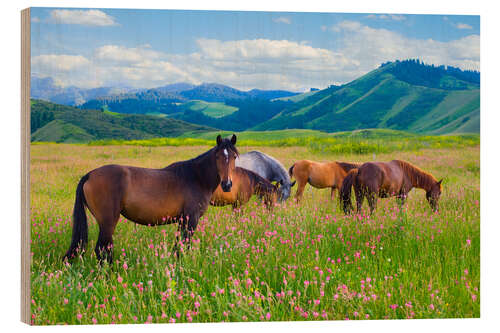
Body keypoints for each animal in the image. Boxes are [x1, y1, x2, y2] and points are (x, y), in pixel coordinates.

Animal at [63, 133, 239, 262]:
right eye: (217, 157)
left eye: (234, 156)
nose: (227, 184)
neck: (196, 177)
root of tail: (89, 175)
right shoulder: (191, 218)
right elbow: (184, 245)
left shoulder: (182, 220)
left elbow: (178, 246)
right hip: (108, 222)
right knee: (102, 249)